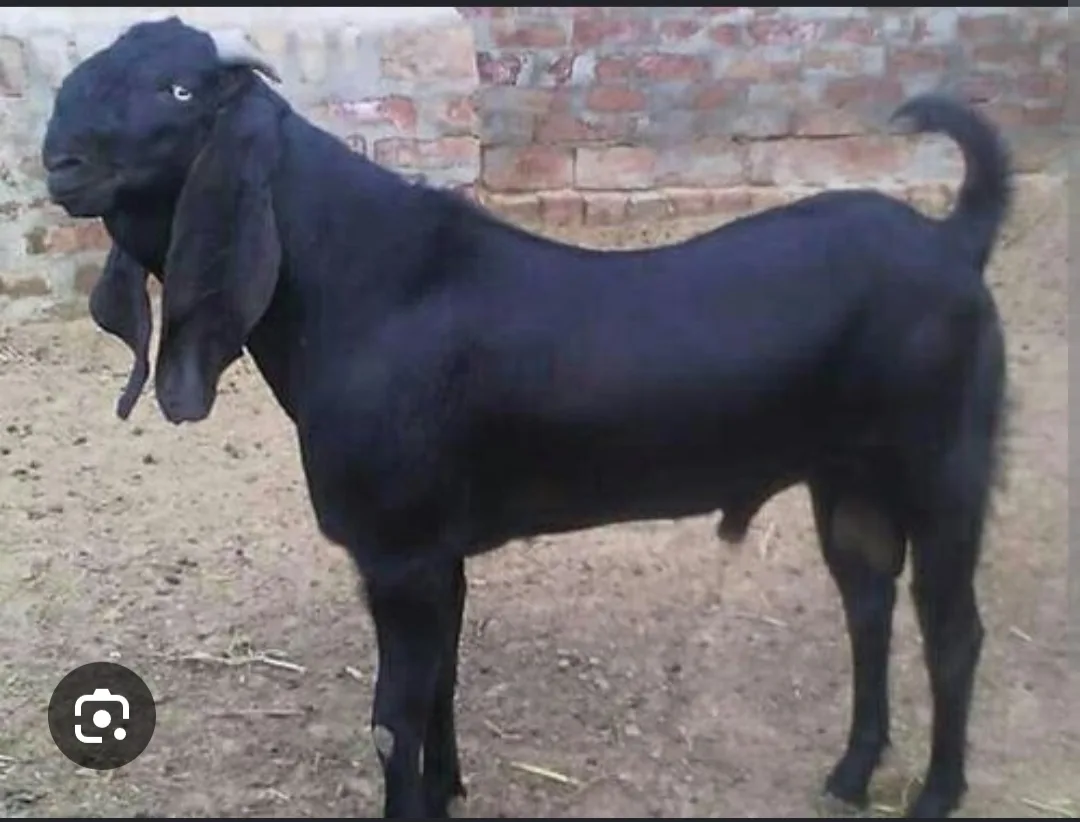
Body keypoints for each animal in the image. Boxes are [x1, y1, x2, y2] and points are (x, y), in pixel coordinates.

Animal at [41, 17, 1010, 819]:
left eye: (178, 91)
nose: (60, 162)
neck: (364, 283)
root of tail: (953, 241)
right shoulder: (435, 554)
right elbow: (440, 683)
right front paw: (447, 790)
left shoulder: (398, 551)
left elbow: (394, 715)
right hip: (848, 478)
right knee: (869, 603)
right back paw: (851, 774)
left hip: (943, 465)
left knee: (953, 630)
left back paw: (934, 795)